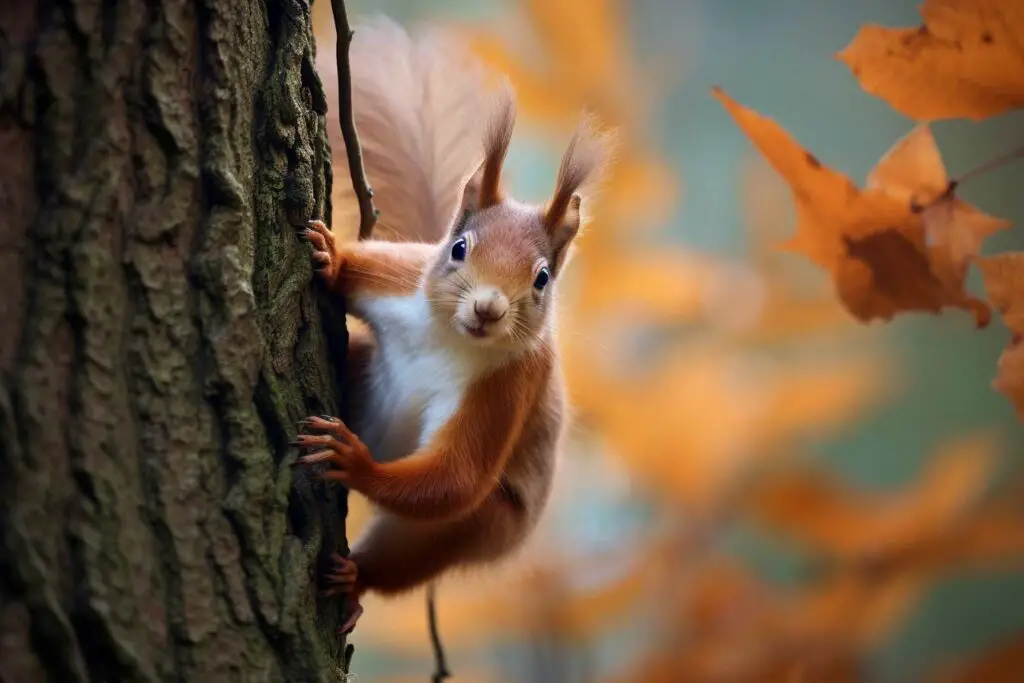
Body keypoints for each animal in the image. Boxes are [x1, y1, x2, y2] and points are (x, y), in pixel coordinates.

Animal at [299, 15, 614, 634]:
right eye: (459, 248)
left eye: (542, 279)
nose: (488, 308)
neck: (446, 339)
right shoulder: (405, 281)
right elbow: (365, 269)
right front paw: (332, 257)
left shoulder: (508, 388)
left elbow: (456, 475)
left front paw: (354, 462)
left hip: (476, 529)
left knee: (416, 546)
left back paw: (356, 578)